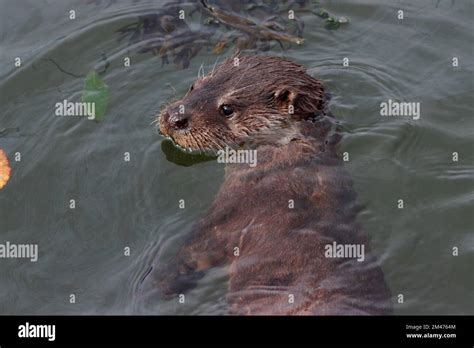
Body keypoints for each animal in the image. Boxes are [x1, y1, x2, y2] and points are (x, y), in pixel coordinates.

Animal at [153, 54, 392, 316]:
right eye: (193, 86)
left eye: (227, 109)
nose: (174, 118)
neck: (283, 161)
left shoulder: (230, 212)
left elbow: (196, 249)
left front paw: (161, 283)